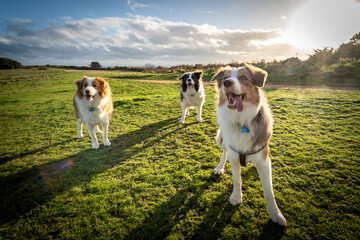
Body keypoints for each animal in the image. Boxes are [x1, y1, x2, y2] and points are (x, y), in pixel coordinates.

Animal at [211, 63, 284, 225]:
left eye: (243, 78)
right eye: (225, 78)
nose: (227, 83)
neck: (242, 120)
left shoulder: (263, 159)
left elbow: (269, 191)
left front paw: (276, 214)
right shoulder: (234, 155)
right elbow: (237, 179)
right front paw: (236, 197)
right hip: (220, 138)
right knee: (224, 151)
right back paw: (219, 167)